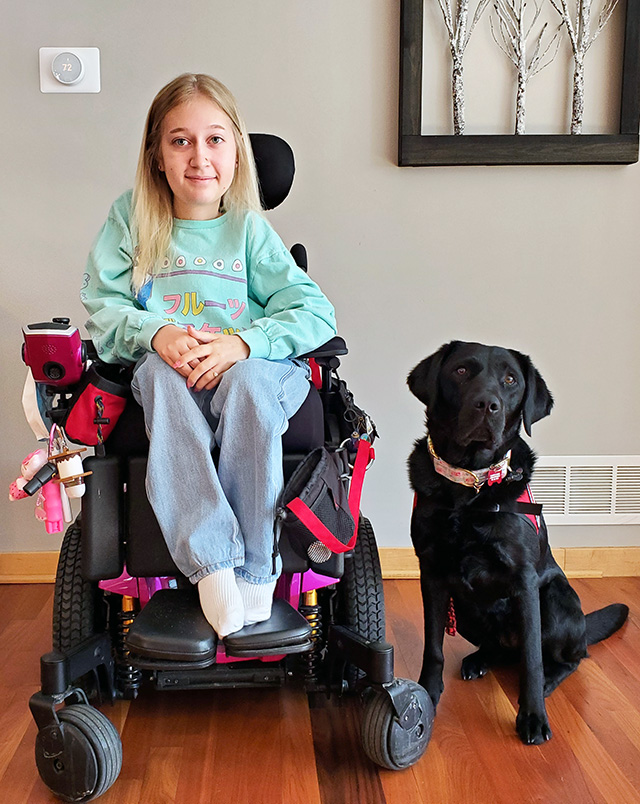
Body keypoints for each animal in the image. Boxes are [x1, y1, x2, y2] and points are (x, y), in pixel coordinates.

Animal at [408, 342, 628, 744]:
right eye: (461, 371)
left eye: (511, 380)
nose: (487, 404)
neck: (472, 485)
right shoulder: (431, 571)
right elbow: (433, 647)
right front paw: (427, 695)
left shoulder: (524, 580)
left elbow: (532, 659)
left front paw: (532, 717)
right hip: (464, 611)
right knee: (497, 647)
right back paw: (479, 660)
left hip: (555, 601)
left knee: (570, 657)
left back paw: (550, 679)